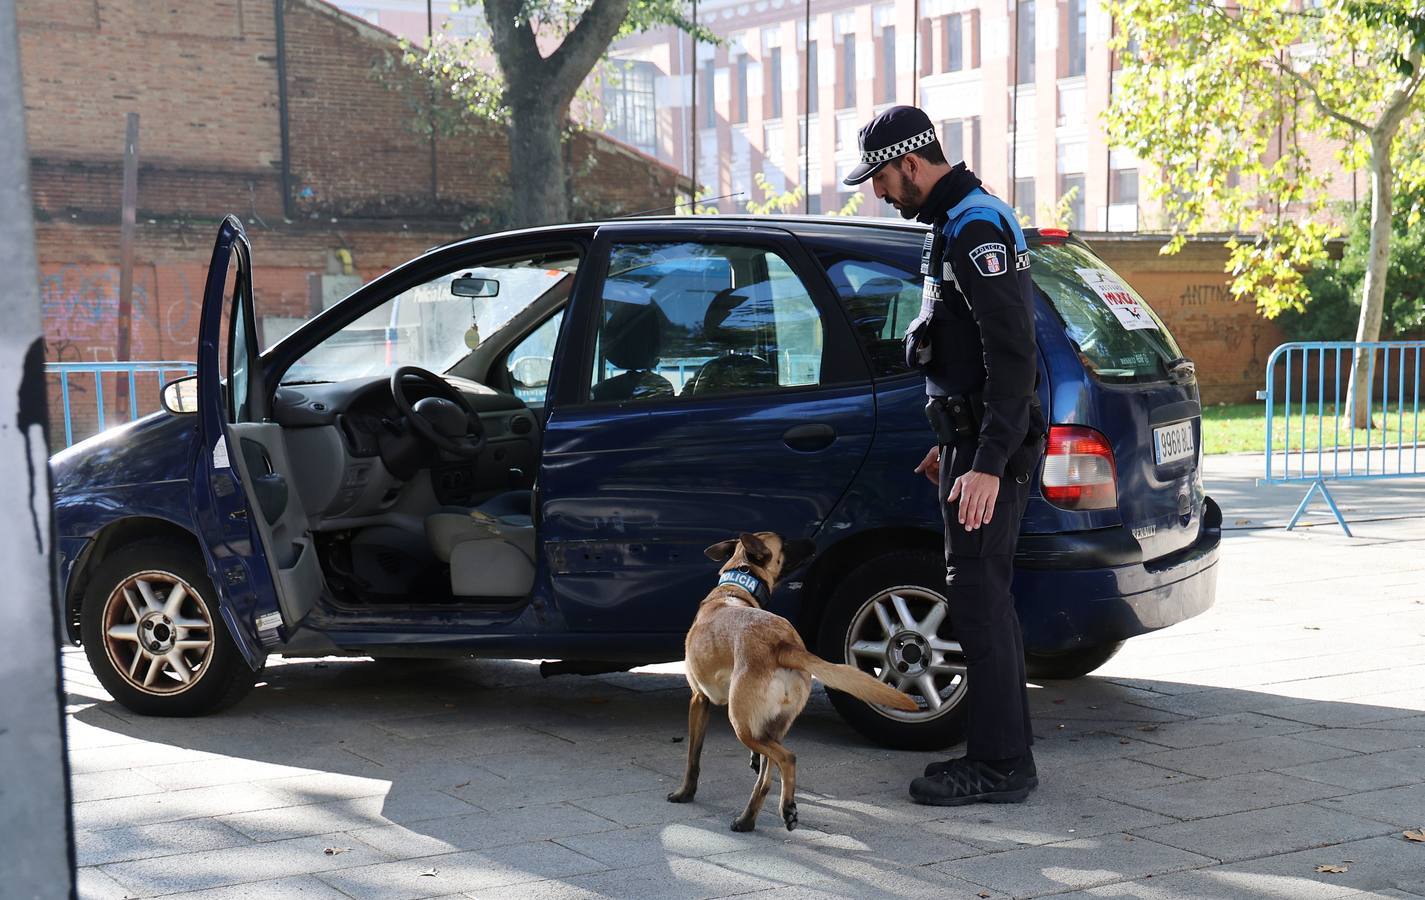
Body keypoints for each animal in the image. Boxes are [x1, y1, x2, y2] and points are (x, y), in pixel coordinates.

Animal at [664, 529, 917, 831]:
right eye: (784, 543)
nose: (812, 541)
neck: (734, 589)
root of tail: (783, 645)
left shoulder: (698, 699)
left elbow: (693, 756)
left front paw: (684, 792)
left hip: (741, 725)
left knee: (786, 757)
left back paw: (779, 808)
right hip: (773, 726)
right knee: (766, 776)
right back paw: (756, 817)